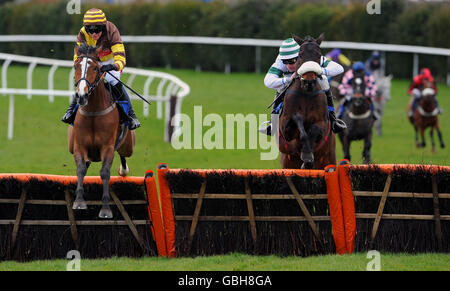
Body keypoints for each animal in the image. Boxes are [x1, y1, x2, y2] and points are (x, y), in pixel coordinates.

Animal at [67, 43, 135, 219]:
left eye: (96, 68)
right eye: (76, 66)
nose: (81, 95)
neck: (93, 111)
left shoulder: (107, 147)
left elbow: (105, 172)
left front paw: (105, 209)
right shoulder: (79, 146)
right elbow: (80, 169)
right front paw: (79, 202)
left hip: (128, 145)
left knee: (123, 155)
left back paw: (123, 170)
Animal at [280, 34, 336, 170]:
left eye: (318, 54)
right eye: (300, 54)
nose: (308, 81)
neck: (306, 93)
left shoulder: (323, 123)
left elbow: (314, 129)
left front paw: (307, 156)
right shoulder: (285, 129)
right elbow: (297, 123)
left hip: (329, 159)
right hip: (287, 164)